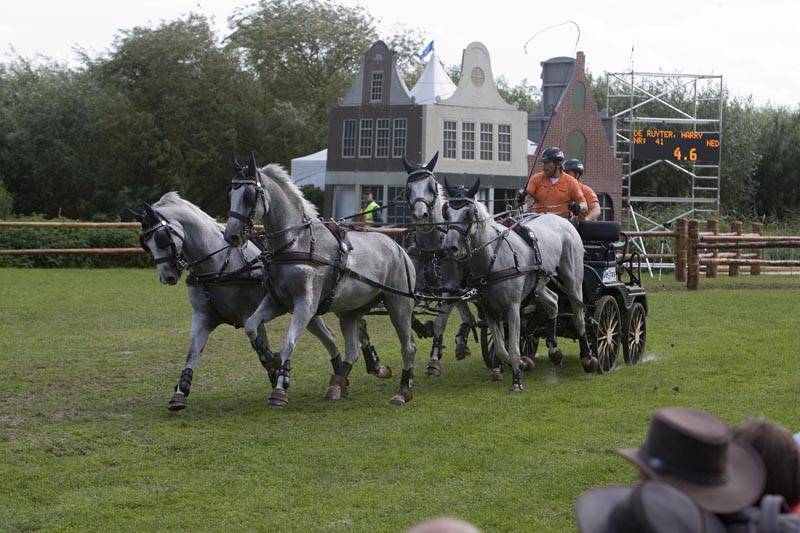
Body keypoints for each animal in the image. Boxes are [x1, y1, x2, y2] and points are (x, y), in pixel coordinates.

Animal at [137, 192, 390, 410]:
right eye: (145, 243)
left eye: (162, 239)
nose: (167, 277)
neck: (220, 266)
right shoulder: (202, 318)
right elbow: (192, 353)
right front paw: (180, 392)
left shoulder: (251, 313)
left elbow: (261, 348)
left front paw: (276, 372)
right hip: (313, 310)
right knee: (332, 336)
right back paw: (342, 376)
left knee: (354, 328)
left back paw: (372, 366)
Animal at [223, 153, 418, 406]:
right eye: (230, 195)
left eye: (248, 196)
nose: (232, 236)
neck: (296, 242)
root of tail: (398, 248)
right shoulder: (277, 302)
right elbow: (250, 326)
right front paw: (270, 358)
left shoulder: (305, 305)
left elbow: (288, 343)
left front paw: (280, 388)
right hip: (350, 311)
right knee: (353, 349)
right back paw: (337, 384)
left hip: (399, 304)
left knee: (408, 347)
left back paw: (403, 391)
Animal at [402, 152, 477, 377]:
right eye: (408, 188)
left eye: (432, 186)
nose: (420, 215)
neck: (432, 248)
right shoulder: (417, 288)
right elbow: (411, 317)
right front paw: (422, 328)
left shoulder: (449, 287)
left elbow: (440, 322)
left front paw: (434, 359)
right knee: (467, 314)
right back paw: (462, 341)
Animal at [441, 179, 598, 393]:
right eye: (447, 212)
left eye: (468, 213)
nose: (450, 247)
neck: (494, 257)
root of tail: (562, 220)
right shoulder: (489, 310)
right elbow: (501, 349)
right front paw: (523, 363)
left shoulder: (512, 307)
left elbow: (513, 347)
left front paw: (517, 381)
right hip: (540, 284)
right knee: (554, 301)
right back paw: (554, 350)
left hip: (572, 278)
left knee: (578, 315)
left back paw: (587, 357)